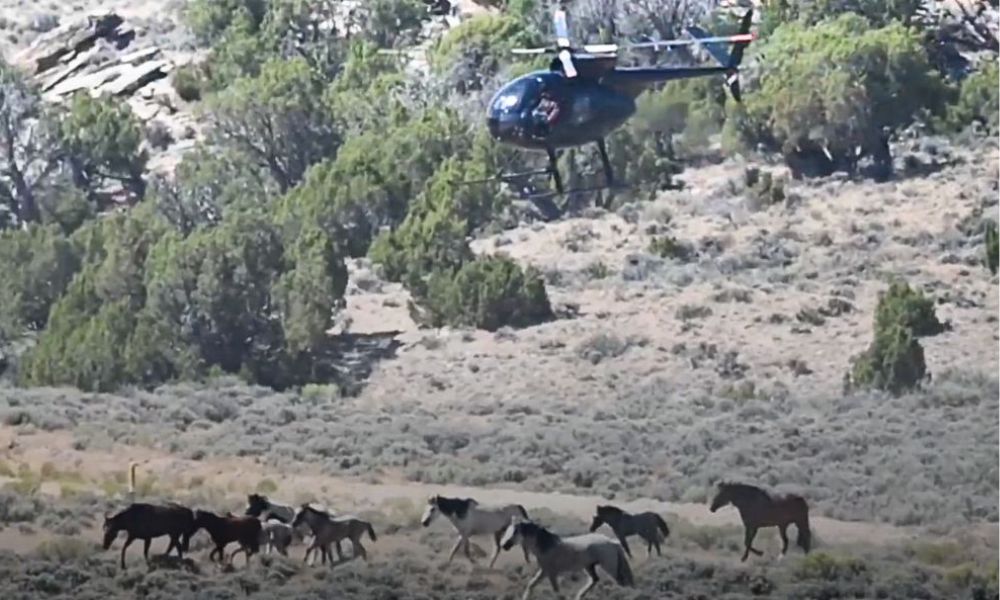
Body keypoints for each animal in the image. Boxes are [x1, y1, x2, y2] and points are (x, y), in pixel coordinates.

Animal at [501, 517, 634, 600]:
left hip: (610, 567)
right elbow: (531, 585)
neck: (547, 546)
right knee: (595, 579)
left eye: (515, 532)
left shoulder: (551, 573)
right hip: (589, 567)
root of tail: (612, 542)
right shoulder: (544, 572)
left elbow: (556, 592)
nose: (504, 546)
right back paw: (579, 596)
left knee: (622, 583)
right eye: (507, 530)